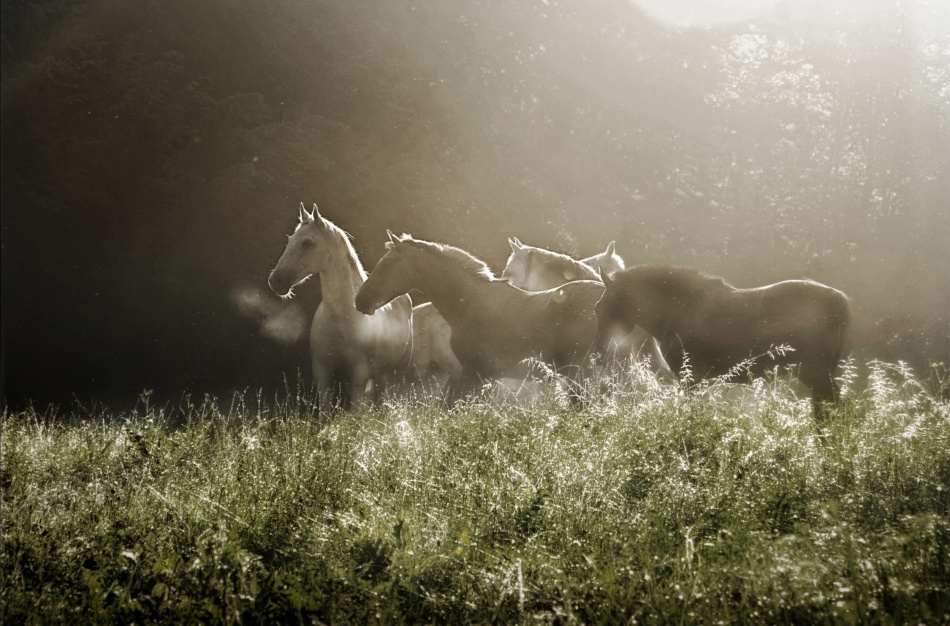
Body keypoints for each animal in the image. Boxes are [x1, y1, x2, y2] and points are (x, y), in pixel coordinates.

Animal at [268, 203, 413, 409]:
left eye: (307, 243)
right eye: (290, 240)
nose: (275, 281)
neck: (340, 315)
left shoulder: (358, 376)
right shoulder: (323, 373)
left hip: (396, 373)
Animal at [595, 265, 853, 420]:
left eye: (598, 308)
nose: (599, 353)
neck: (676, 311)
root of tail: (840, 300)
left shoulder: (690, 379)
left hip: (817, 374)